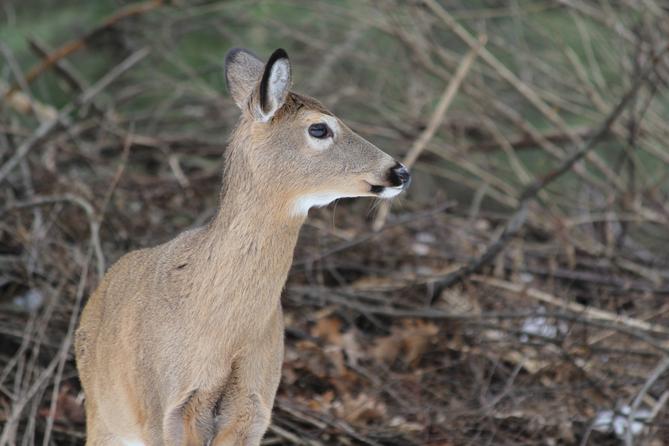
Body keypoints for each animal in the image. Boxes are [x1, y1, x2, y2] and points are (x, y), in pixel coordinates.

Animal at [74, 47, 411, 446]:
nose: (400, 172)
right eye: (319, 128)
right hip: (106, 415)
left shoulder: (253, 408)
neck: (225, 332)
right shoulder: (166, 409)